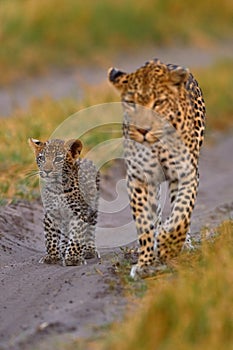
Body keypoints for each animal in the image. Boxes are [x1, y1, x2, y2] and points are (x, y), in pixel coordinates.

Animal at [108, 60, 205, 278]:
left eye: (159, 103)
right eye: (131, 103)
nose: (143, 130)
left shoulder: (186, 173)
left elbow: (182, 213)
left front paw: (168, 245)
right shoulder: (138, 179)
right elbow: (145, 223)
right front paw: (145, 262)